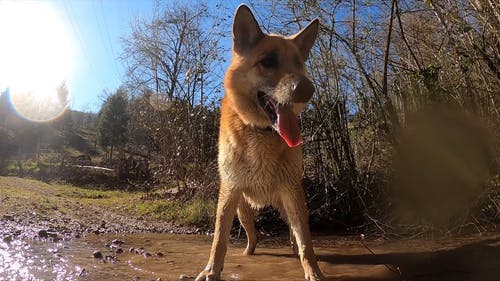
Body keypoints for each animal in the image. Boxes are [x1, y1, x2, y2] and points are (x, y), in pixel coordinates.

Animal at [193, 4, 322, 280]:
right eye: (268, 62)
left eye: (299, 63)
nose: (307, 89)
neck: (262, 132)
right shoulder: (229, 195)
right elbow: (219, 239)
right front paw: (211, 270)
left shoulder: (293, 194)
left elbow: (306, 241)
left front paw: (313, 272)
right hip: (242, 211)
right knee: (253, 235)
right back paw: (249, 254)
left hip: (290, 204)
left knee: (294, 234)